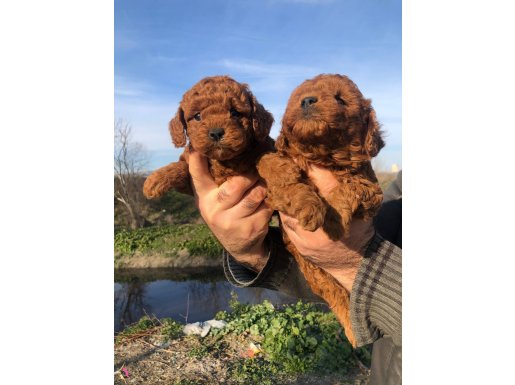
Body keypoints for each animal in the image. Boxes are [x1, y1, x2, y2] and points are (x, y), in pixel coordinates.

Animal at [143, 76, 276, 200]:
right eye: (197, 116)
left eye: (235, 112)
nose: (216, 133)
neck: (223, 161)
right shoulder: (190, 185)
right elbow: (182, 166)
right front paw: (154, 180)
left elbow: (265, 158)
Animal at [260, 73, 384, 344]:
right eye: (298, 97)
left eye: (340, 99)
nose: (307, 101)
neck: (321, 155)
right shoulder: (276, 189)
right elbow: (287, 179)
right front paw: (310, 207)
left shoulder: (370, 188)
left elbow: (349, 188)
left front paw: (334, 222)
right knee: (335, 293)